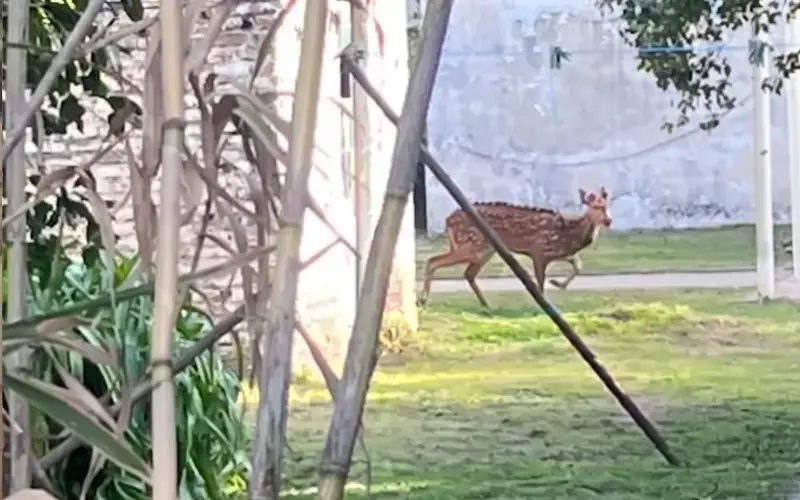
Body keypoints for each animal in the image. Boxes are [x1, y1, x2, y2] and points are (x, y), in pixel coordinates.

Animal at [418, 187, 613, 308]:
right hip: (471, 245)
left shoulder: (562, 253)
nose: (609, 220)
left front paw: (558, 283)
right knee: (433, 260)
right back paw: (422, 300)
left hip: (485, 250)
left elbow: (578, 266)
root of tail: (448, 220)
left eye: (608, 205)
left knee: (468, 274)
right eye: (596, 206)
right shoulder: (539, 250)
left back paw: (486, 304)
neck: (569, 234)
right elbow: (540, 283)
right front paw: (543, 305)